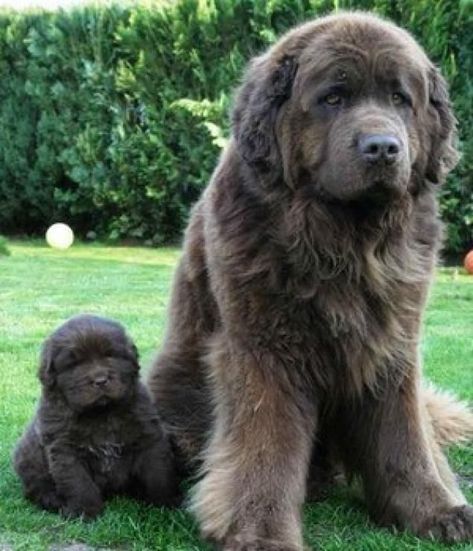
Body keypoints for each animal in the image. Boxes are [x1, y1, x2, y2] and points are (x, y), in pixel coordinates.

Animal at [14, 314, 179, 516]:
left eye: (110, 355)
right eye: (75, 364)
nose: (100, 380)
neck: (102, 413)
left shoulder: (148, 437)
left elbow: (158, 474)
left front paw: (166, 504)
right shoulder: (65, 449)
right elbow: (79, 483)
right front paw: (86, 513)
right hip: (27, 459)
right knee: (36, 487)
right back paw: (53, 500)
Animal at [148, 9, 472, 551]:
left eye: (400, 98)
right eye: (333, 98)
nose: (382, 148)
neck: (345, 242)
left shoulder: (394, 343)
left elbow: (405, 432)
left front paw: (435, 509)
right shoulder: (262, 350)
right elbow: (266, 445)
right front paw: (260, 532)